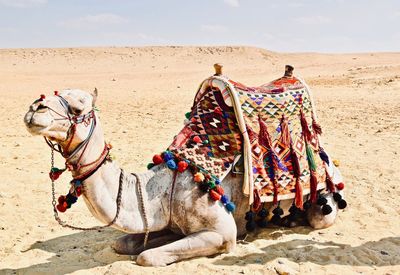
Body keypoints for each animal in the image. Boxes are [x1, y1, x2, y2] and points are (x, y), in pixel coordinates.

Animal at [23, 67, 346, 268]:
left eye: (78, 108)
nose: (34, 109)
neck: (166, 183)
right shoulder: (170, 222)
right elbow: (124, 244)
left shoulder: (221, 233)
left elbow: (147, 257)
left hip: (325, 198)